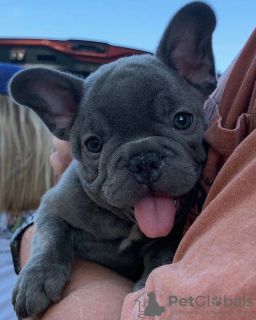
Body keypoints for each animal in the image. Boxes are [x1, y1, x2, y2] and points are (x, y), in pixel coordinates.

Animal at [10, 1, 217, 318]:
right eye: (94, 145)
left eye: (182, 120)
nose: (143, 159)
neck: (127, 223)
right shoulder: (52, 206)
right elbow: (50, 239)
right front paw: (36, 278)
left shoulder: (172, 232)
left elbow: (164, 253)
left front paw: (146, 285)